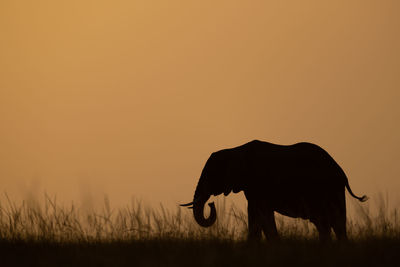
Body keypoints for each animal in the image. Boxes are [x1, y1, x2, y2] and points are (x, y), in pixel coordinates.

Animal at [181, 141, 368, 242]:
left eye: (211, 175)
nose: (211, 204)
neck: (235, 149)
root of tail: (342, 173)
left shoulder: (258, 184)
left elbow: (260, 215)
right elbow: (259, 216)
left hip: (329, 189)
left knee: (334, 222)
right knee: (325, 223)